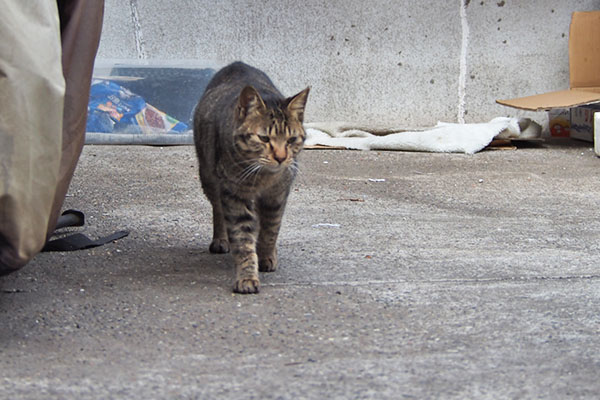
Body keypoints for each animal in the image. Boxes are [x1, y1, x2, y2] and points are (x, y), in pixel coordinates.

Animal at [193, 62, 310, 294]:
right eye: (264, 138)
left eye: (291, 139)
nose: (281, 157)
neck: (263, 178)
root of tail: (237, 64)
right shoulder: (234, 195)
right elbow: (243, 238)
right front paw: (247, 276)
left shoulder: (277, 195)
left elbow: (270, 229)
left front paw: (266, 255)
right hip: (209, 176)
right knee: (218, 209)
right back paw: (221, 239)